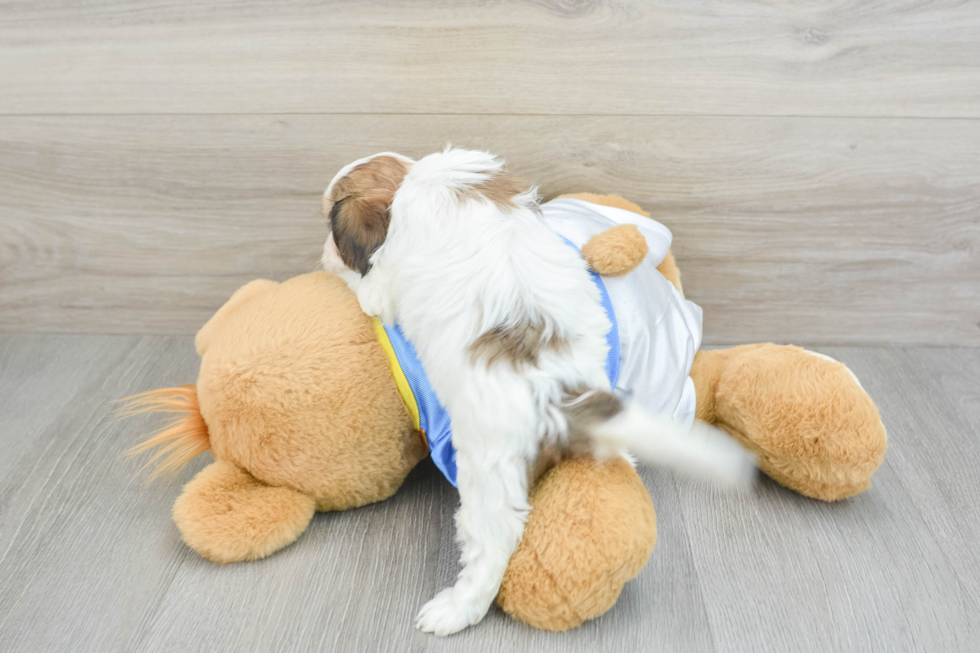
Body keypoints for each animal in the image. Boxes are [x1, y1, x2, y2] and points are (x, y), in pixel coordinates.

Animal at [322, 146, 752, 632]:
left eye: (331, 228)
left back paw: (455, 609)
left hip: (489, 468)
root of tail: (567, 393)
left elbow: (368, 290)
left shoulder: (382, 285)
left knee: (493, 540)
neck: (410, 179)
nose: (322, 252)